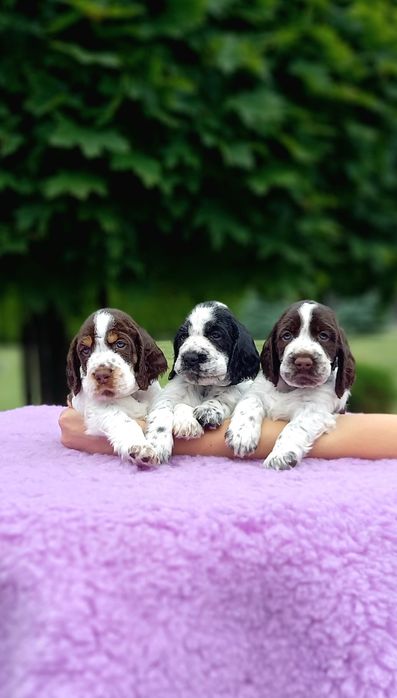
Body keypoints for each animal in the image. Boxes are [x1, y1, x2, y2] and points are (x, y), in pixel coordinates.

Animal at [67, 308, 166, 462]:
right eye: (85, 351)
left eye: (120, 344)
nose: (101, 375)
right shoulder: (94, 406)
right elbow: (121, 419)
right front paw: (140, 447)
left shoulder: (157, 398)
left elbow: (162, 415)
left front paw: (159, 443)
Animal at [145, 300, 260, 462]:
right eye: (183, 336)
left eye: (216, 335)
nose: (190, 357)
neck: (203, 387)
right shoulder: (166, 398)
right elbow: (161, 412)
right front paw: (156, 444)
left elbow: (224, 397)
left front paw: (208, 410)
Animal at [224, 298, 354, 468]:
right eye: (287, 335)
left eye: (323, 335)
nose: (303, 362)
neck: (289, 388)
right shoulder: (255, 393)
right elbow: (249, 405)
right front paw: (241, 435)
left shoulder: (314, 409)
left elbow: (295, 426)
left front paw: (280, 455)